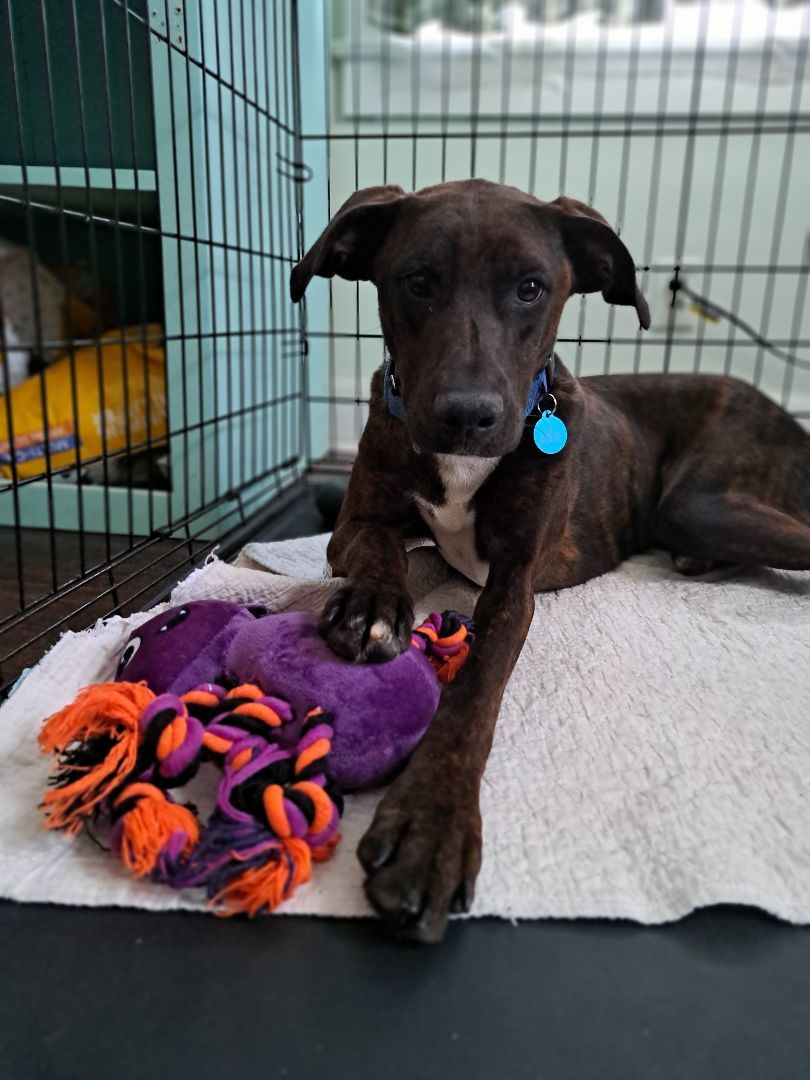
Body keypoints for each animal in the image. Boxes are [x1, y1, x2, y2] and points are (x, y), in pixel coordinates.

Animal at [291, 181, 810, 941]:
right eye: (416, 281)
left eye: (531, 288)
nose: (467, 415)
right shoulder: (355, 525)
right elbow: (380, 547)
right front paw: (372, 605)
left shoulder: (515, 584)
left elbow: (475, 690)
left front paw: (431, 827)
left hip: (701, 501)